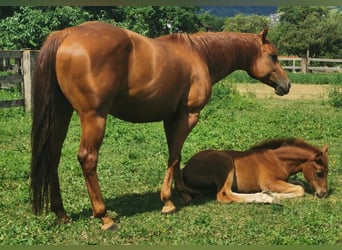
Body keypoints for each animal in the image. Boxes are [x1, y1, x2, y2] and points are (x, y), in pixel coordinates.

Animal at [30, 20, 290, 229]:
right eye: (273, 56)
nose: (286, 85)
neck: (199, 54)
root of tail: (67, 34)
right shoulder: (189, 114)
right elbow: (174, 156)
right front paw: (168, 202)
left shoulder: (171, 117)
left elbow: (176, 155)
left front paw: (184, 193)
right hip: (94, 117)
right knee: (87, 158)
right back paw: (104, 217)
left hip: (62, 113)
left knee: (53, 155)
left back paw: (62, 214)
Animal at [182, 138, 328, 204]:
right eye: (319, 172)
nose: (324, 194)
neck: (277, 160)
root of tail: (185, 169)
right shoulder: (270, 182)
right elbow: (300, 189)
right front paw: (274, 195)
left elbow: (300, 184)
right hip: (226, 163)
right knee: (224, 195)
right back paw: (266, 198)